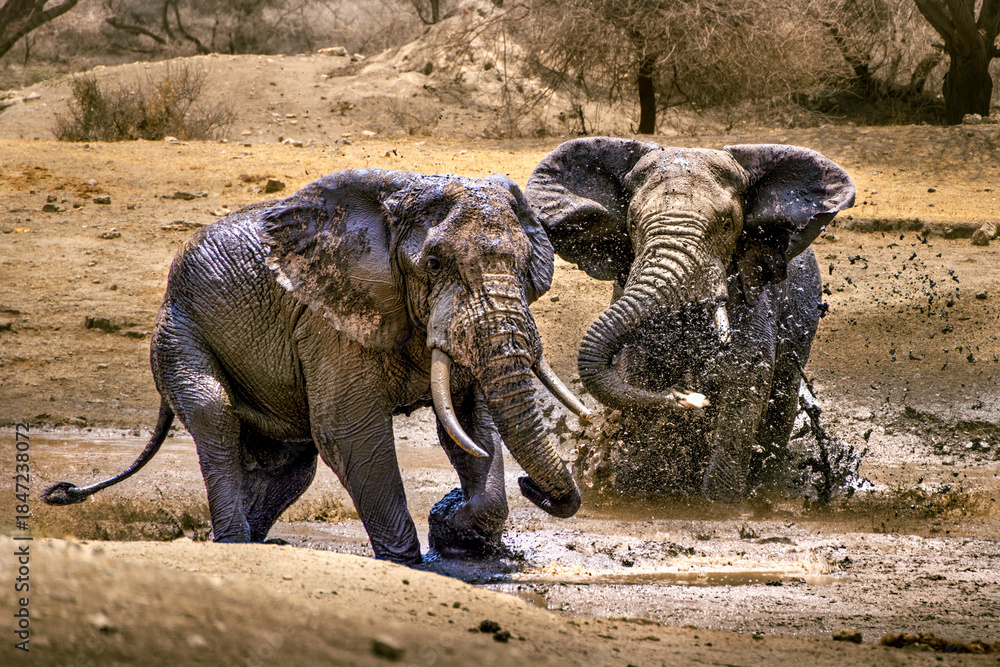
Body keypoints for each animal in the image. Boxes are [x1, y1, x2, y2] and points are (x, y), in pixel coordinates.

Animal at [43, 169, 591, 564]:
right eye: (433, 265)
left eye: (522, 264)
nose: (533, 487)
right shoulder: (326, 321)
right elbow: (350, 432)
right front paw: (410, 560)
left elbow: (472, 425)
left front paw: (453, 528)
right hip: (178, 332)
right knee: (214, 414)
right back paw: (236, 544)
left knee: (290, 462)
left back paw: (260, 540)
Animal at [526, 138, 855, 499]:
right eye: (633, 225)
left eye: (727, 226)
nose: (685, 399)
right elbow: (635, 377)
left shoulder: (755, 304)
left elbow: (745, 392)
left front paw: (718, 501)